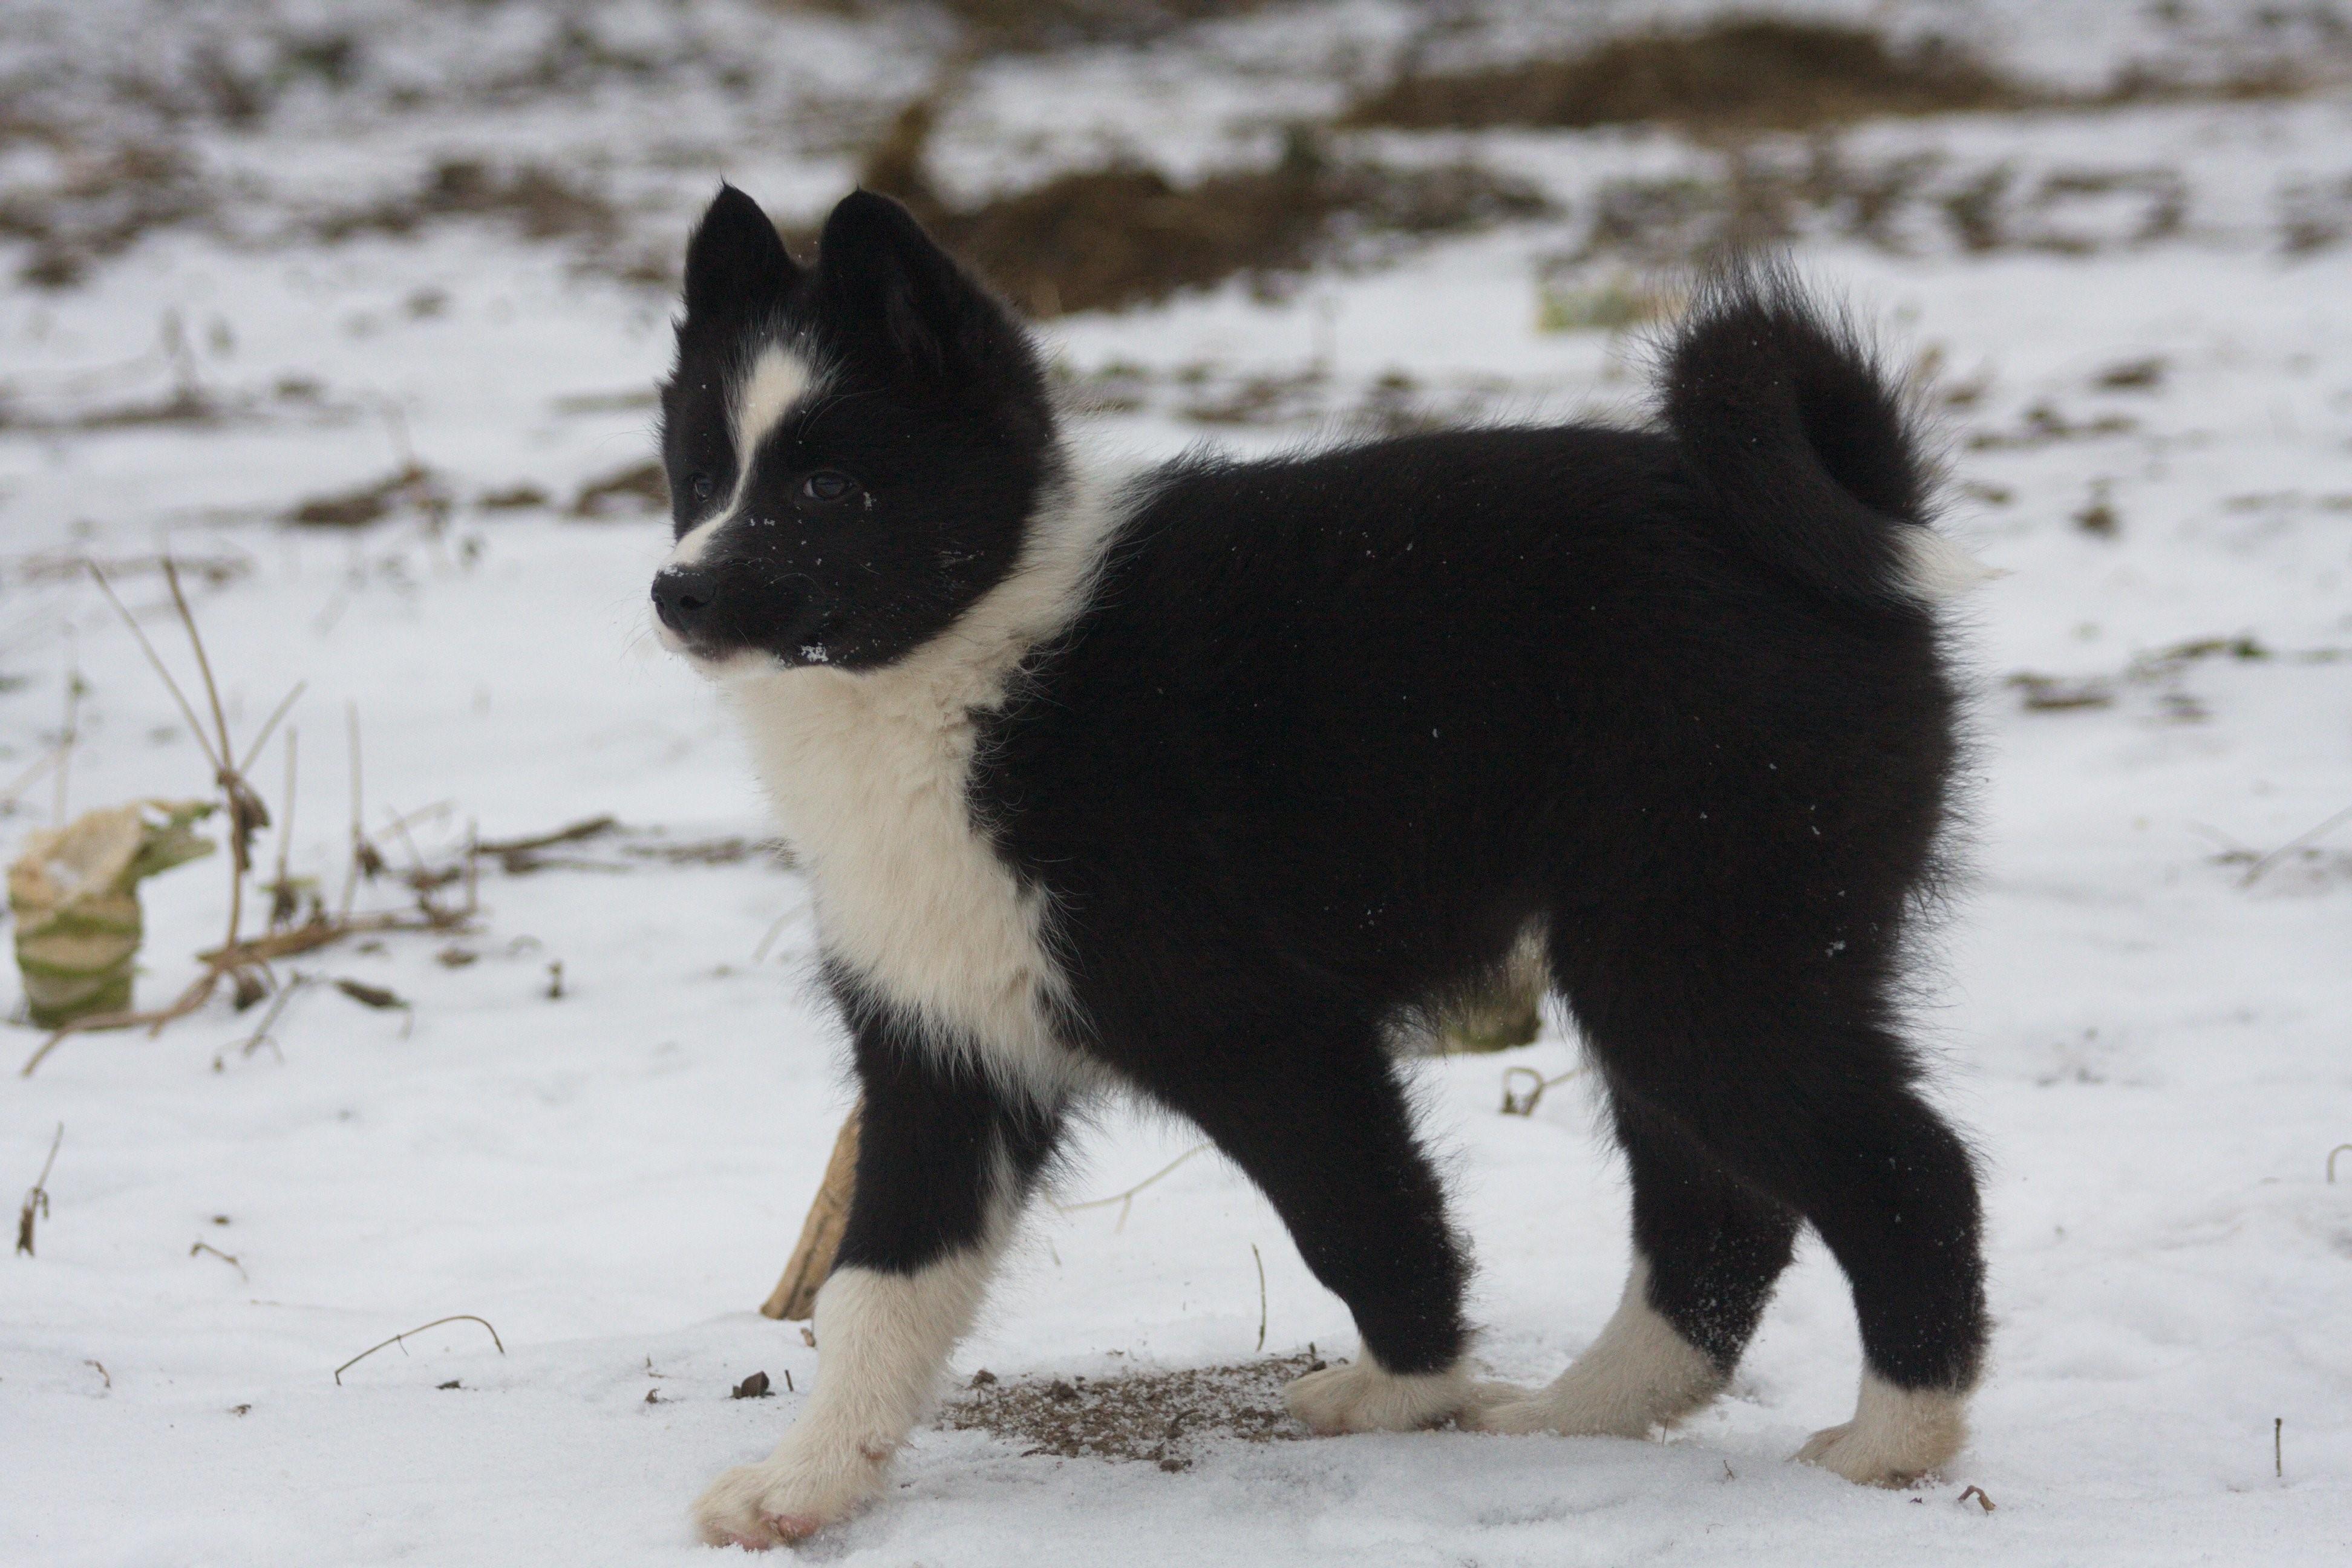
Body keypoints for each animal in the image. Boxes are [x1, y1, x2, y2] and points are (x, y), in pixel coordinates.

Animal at [653, 185, 1994, 1542]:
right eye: (702, 474)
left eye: (828, 489)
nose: (678, 592)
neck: (975, 659)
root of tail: (1832, 530)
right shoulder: (944, 1041)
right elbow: (880, 1283)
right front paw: (804, 1483)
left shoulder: (1265, 1031)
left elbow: (1360, 1217)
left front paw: (1407, 1389)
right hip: (1686, 959)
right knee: (1721, 1215)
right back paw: (1585, 1412)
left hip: (1701, 953)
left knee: (1906, 1172)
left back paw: (1895, 1439)